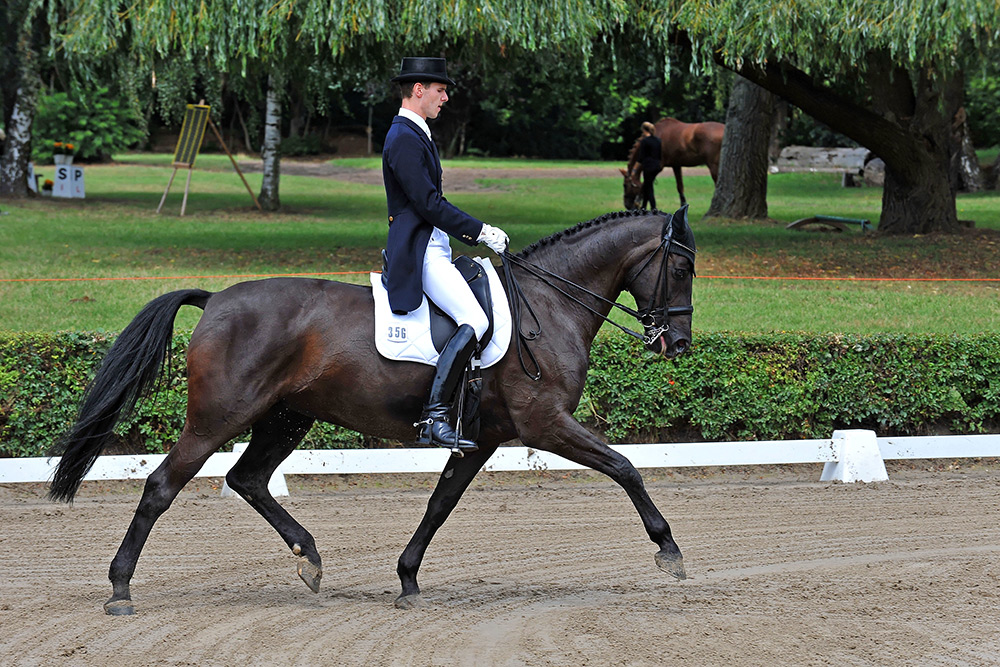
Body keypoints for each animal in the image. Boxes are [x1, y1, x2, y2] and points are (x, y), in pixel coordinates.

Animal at [50, 207, 700, 616]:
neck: (549, 303)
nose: (678, 344)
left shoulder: (482, 438)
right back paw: (120, 590)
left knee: (248, 478)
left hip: (287, 417)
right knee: (163, 486)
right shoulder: (546, 423)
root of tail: (216, 300)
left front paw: (408, 579)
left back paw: (309, 559)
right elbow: (625, 468)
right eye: (682, 267)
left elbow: (439, 505)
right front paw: (669, 552)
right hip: (219, 418)